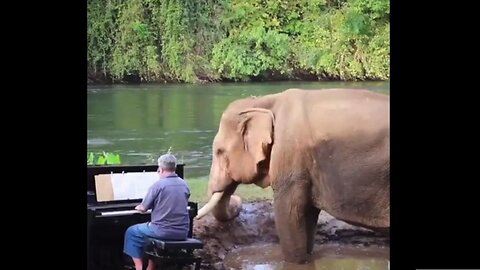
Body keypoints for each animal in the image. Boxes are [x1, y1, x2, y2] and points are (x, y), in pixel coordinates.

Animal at [195, 88, 390, 264]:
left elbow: (288, 213)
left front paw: (295, 262)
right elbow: (308, 214)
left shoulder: (290, 156)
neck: (265, 101)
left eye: (219, 151)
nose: (238, 201)